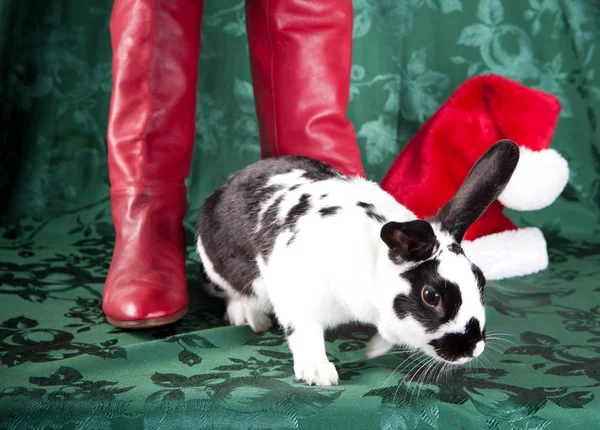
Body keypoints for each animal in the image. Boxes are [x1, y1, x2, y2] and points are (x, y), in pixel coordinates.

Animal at [196, 140, 520, 386]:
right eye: (431, 295)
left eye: (480, 279)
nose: (473, 348)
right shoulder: (297, 296)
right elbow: (304, 333)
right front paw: (319, 374)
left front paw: (373, 349)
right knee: (233, 293)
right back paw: (250, 316)